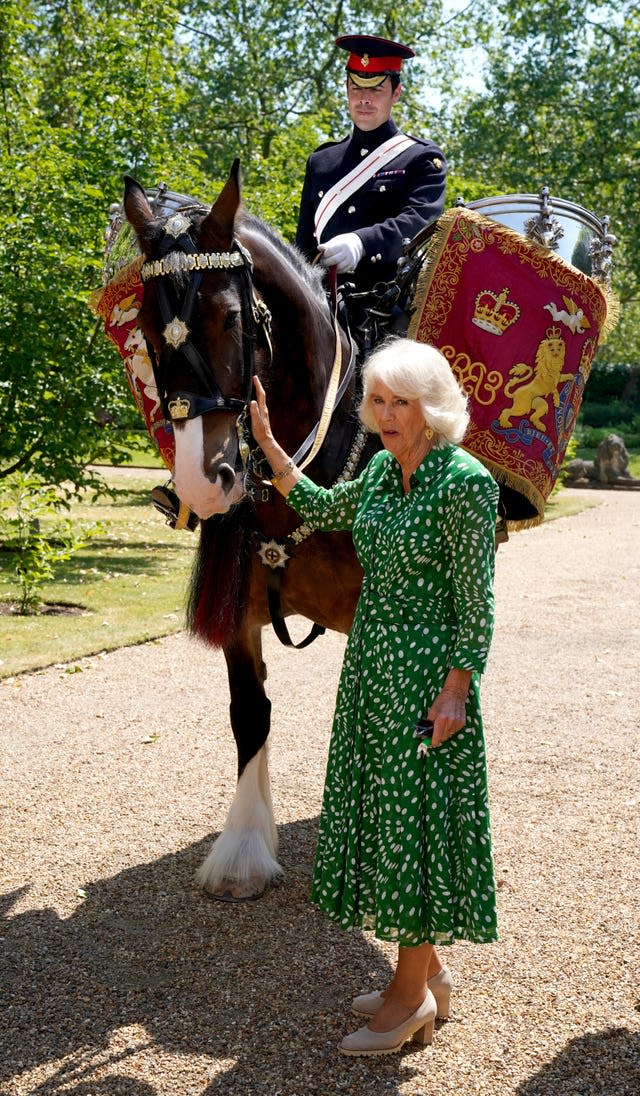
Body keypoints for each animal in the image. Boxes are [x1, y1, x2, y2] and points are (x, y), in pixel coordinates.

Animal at [122, 162, 376, 898]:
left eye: (231, 317)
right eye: (145, 326)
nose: (204, 483)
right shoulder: (239, 609)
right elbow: (250, 713)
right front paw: (244, 847)